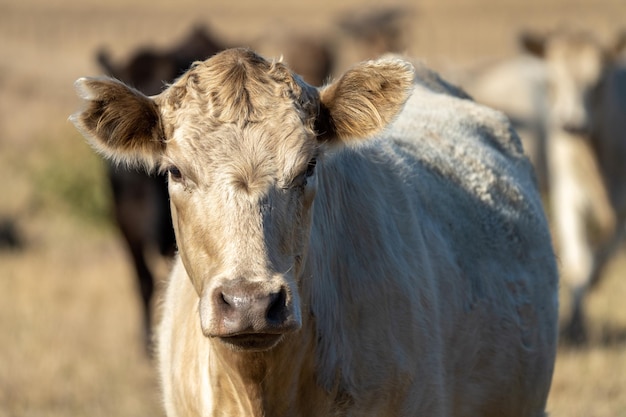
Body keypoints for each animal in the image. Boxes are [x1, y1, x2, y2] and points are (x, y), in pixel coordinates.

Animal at [520, 27, 624, 342]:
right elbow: (580, 264)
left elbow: (599, 261)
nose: (571, 124)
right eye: (552, 80)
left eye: (598, 81)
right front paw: (574, 325)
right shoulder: (568, 197)